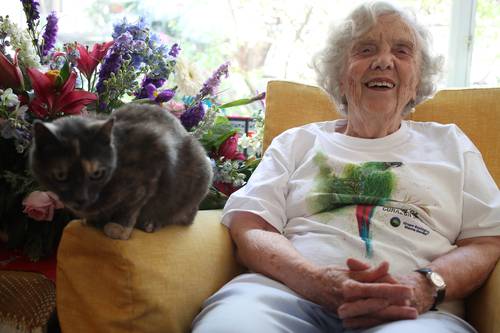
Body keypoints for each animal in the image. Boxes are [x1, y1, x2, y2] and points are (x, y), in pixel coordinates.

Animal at [29, 104, 213, 239]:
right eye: (60, 175)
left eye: (97, 174)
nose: (81, 198)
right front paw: (93, 220)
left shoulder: (152, 167)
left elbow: (131, 206)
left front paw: (119, 228)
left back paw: (151, 223)